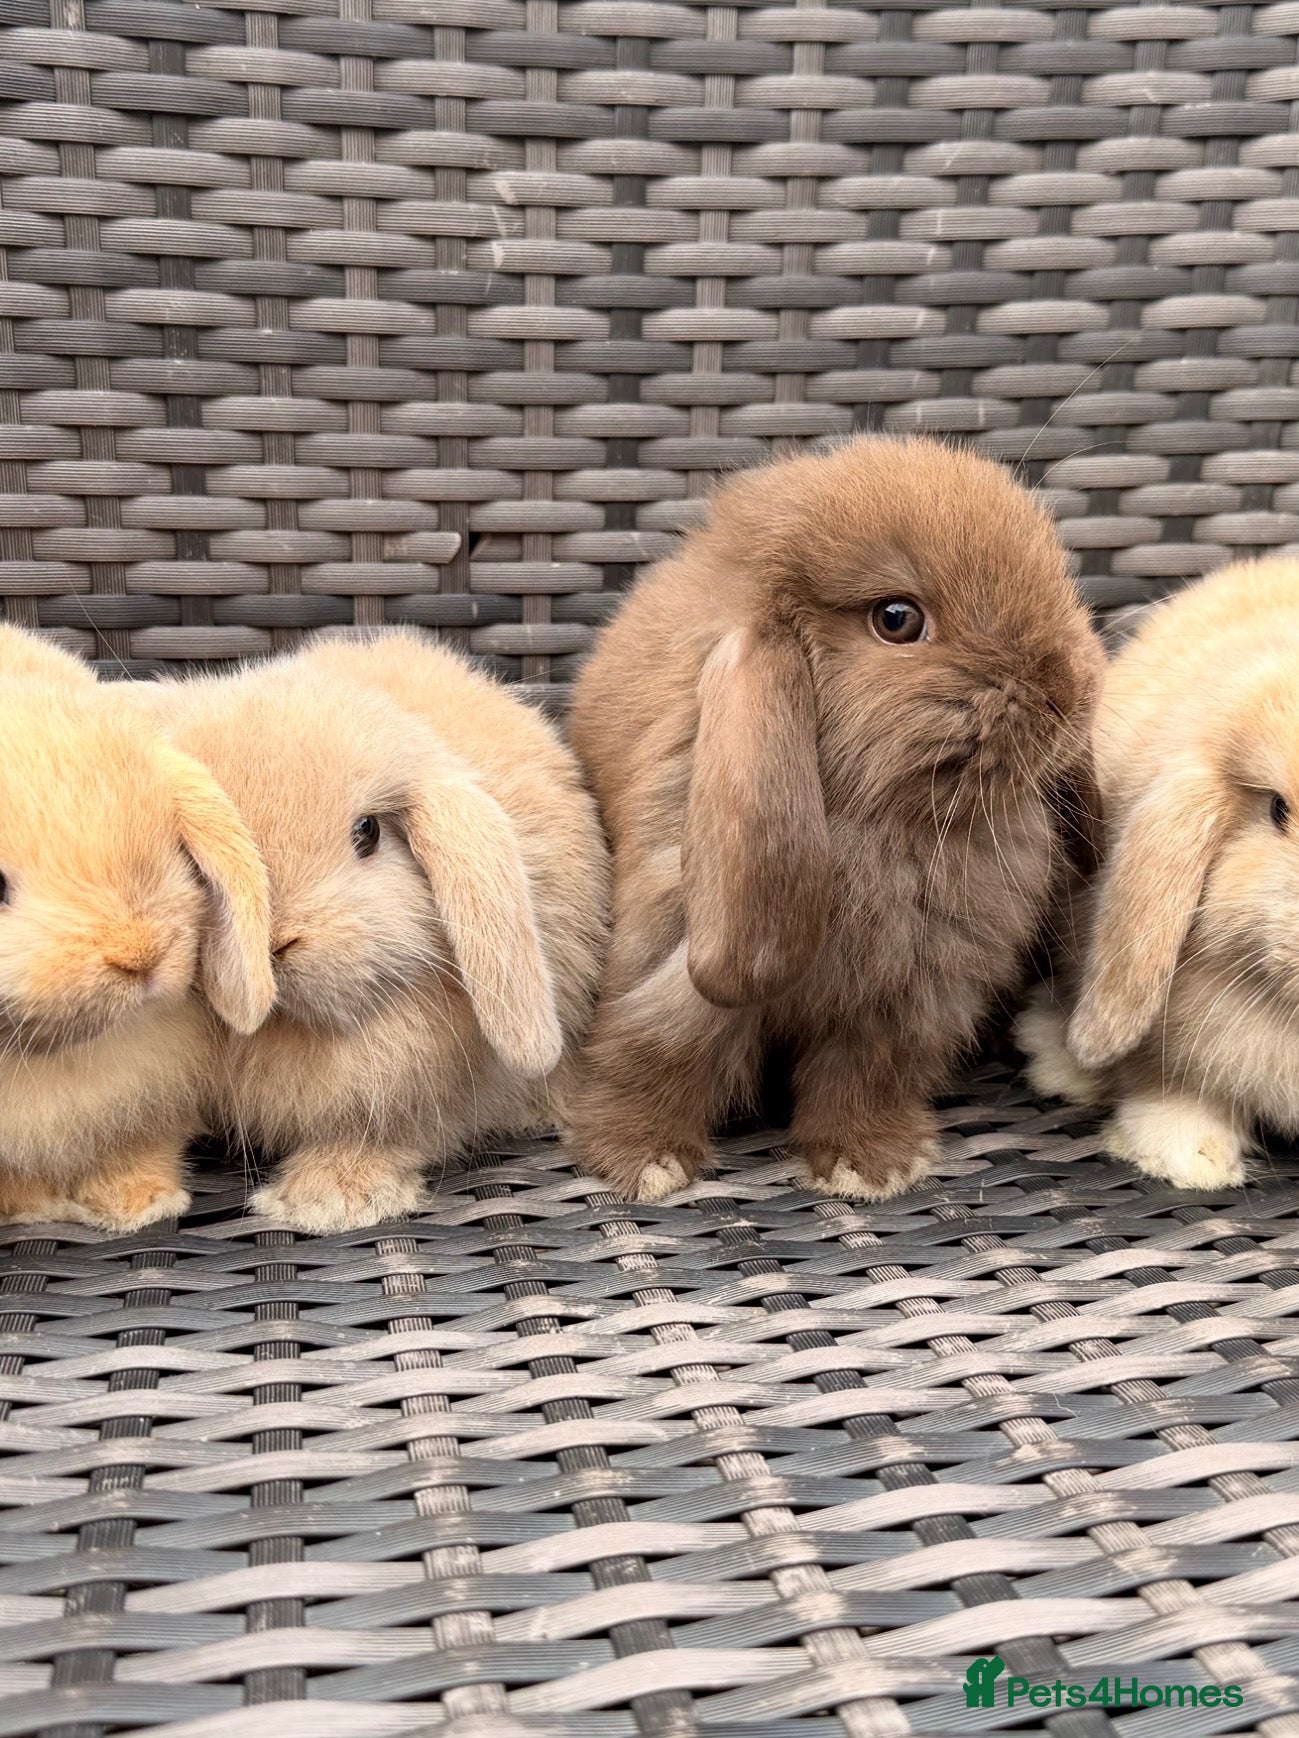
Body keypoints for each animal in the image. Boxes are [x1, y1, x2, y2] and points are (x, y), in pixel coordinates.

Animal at [565, 434, 1104, 1203]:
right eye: (897, 619)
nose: (1068, 688)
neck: (880, 825)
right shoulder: (672, 972)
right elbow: (660, 1057)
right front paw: (642, 1161)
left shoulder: (900, 1006)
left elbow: (863, 1082)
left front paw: (870, 1166)